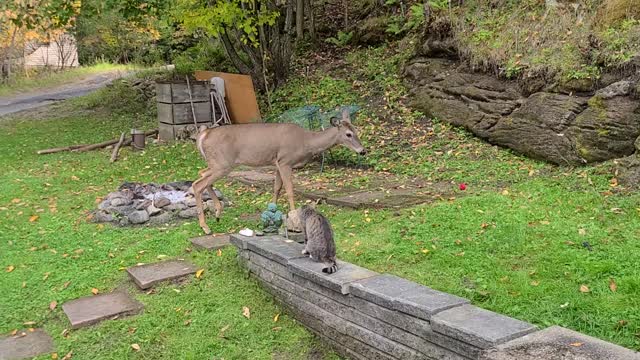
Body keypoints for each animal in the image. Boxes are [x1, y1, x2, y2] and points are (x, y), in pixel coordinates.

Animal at [192, 108, 364, 235]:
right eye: (348, 134)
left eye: (356, 130)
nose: (363, 151)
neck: (306, 142)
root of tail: (203, 135)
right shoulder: (285, 161)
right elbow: (289, 190)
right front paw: (294, 218)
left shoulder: (277, 163)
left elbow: (276, 188)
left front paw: (272, 212)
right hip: (222, 164)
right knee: (198, 185)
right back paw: (205, 227)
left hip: (216, 164)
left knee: (201, 175)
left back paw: (217, 214)